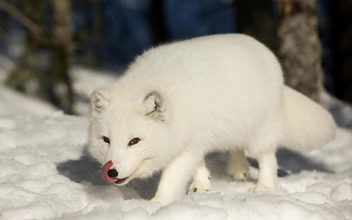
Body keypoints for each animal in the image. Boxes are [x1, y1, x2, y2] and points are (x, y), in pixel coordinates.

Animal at [87, 33, 336, 205]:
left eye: (134, 141)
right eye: (106, 140)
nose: (111, 172)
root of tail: (263, 48)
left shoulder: (187, 146)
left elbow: (171, 180)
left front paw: (157, 204)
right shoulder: (195, 139)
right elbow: (198, 166)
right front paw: (202, 185)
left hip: (261, 133)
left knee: (268, 158)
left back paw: (264, 186)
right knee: (236, 146)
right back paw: (238, 169)